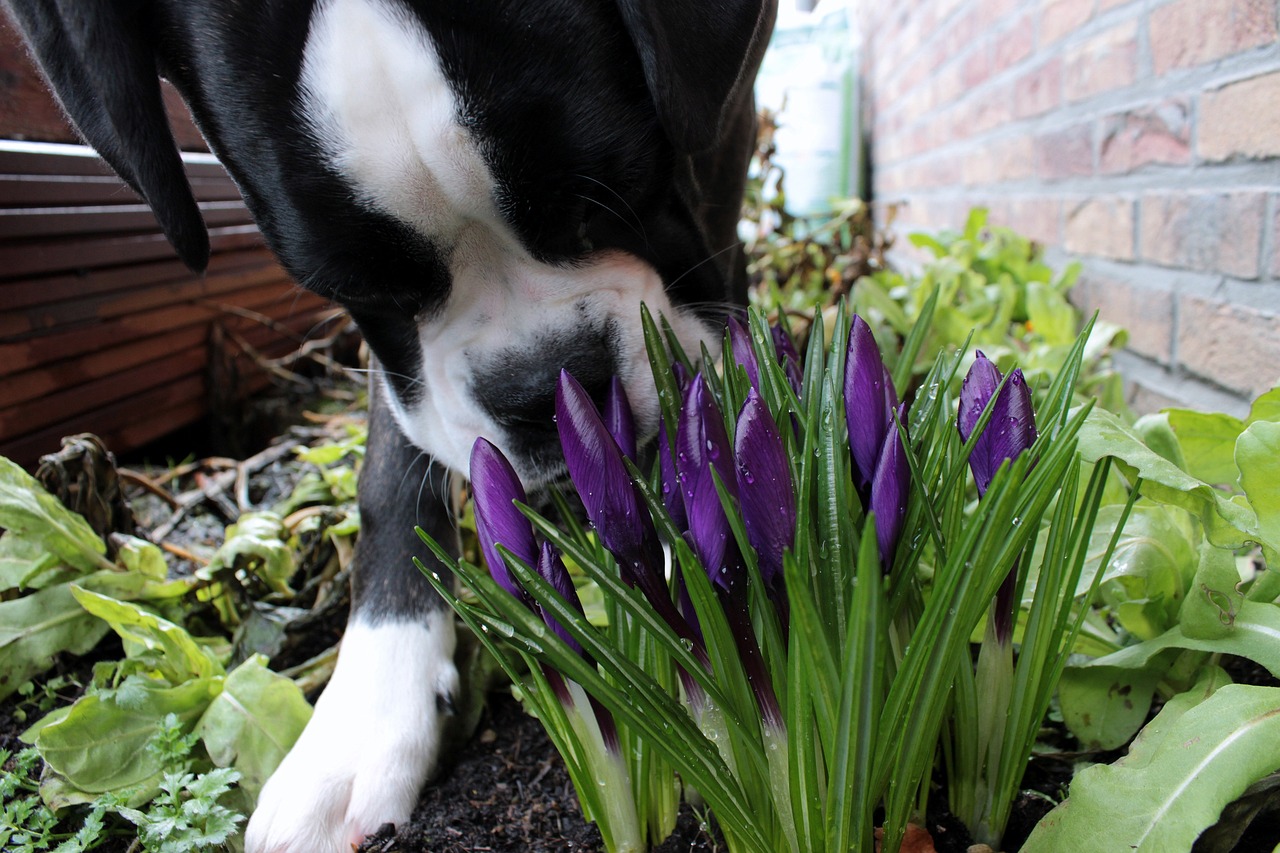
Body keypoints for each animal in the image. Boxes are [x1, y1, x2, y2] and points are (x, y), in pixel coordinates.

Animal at [5, 3, 768, 845]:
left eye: (608, 194)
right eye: (363, 286)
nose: (542, 384)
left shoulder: (716, 135)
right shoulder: (400, 368)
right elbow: (393, 473)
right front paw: (364, 713)